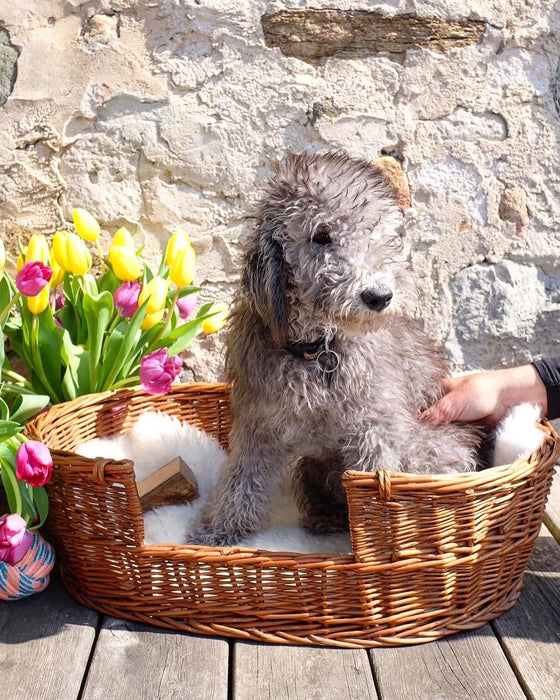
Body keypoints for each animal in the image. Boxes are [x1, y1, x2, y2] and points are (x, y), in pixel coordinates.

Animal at [190, 151, 483, 547]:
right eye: (321, 235)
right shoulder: (258, 423)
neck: (315, 351)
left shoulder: (375, 427)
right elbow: (242, 477)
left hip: (430, 447)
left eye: (378, 234)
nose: (380, 296)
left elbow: (378, 480)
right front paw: (216, 530)